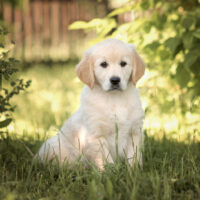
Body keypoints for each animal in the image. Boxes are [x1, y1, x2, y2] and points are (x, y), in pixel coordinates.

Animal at [37, 38, 145, 169]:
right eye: (103, 64)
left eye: (123, 63)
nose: (115, 80)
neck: (114, 99)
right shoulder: (96, 136)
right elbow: (105, 160)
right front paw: (111, 171)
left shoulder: (134, 132)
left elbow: (133, 156)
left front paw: (134, 170)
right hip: (52, 145)